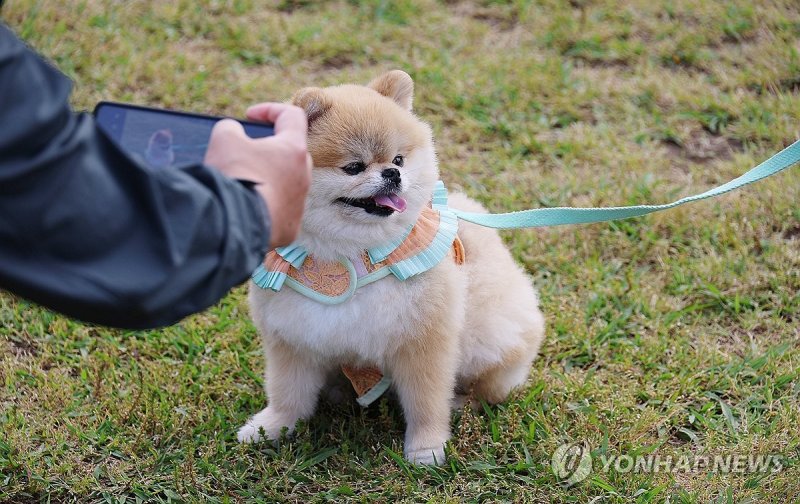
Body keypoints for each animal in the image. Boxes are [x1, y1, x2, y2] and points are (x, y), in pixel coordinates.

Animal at [238, 70, 548, 464]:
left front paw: (426, 448)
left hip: (490, 337)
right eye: (354, 167)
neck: (350, 254)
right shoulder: (293, 338)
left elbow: (426, 402)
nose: (391, 174)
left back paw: (464, 401)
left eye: (399, 159)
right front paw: (271, 428)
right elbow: (287, 393)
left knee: (490, 386)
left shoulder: (423, 344)